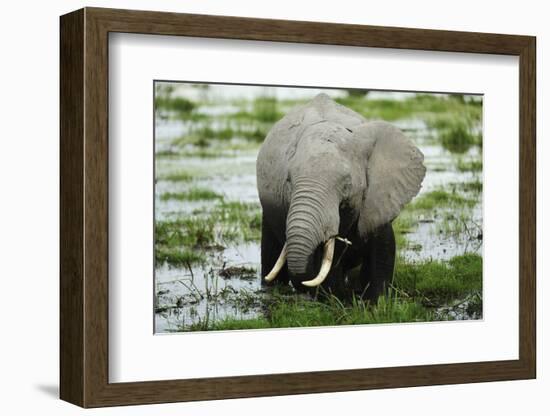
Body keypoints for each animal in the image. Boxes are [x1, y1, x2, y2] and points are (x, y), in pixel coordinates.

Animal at [258, 93, 426, 302]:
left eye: (347, 184)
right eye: (288, 181)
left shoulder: (376, 201)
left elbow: (383, 248)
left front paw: (375, 301)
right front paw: (336, 298)